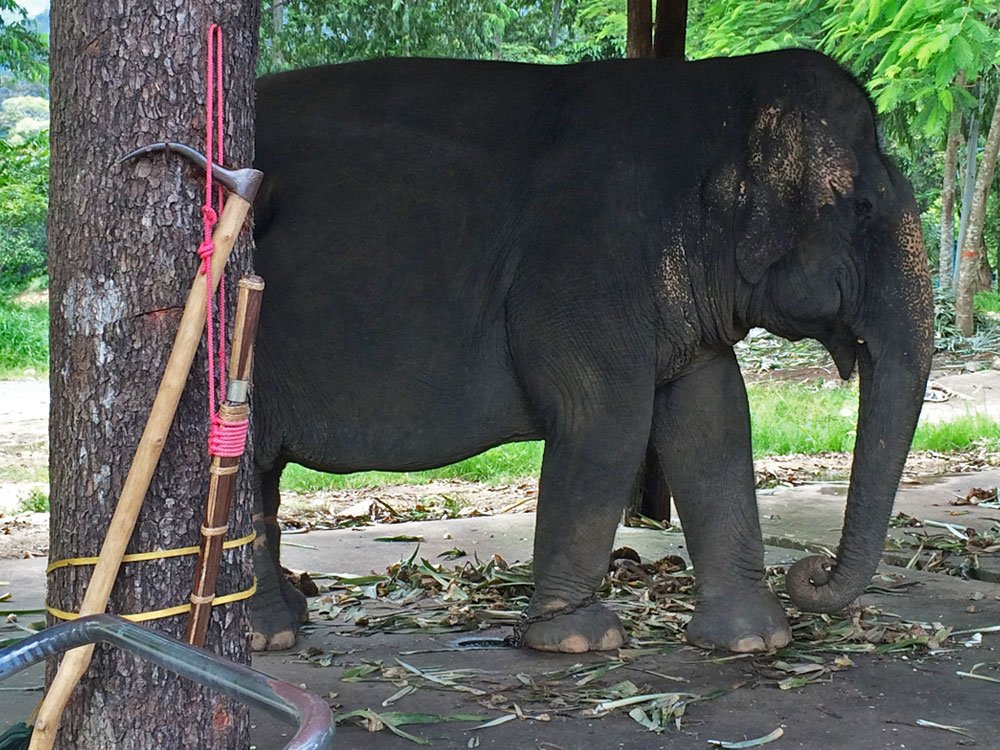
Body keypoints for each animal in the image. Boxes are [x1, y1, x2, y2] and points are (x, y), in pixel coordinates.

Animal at [248, 48, 934, 654]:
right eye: (862, 207)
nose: (811, 571)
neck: (716, 97)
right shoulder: (590, 266)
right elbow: (606, 421)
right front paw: (576, 638)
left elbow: (714, 424)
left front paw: (752, 641)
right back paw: (267, 633)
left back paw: (288, 615)